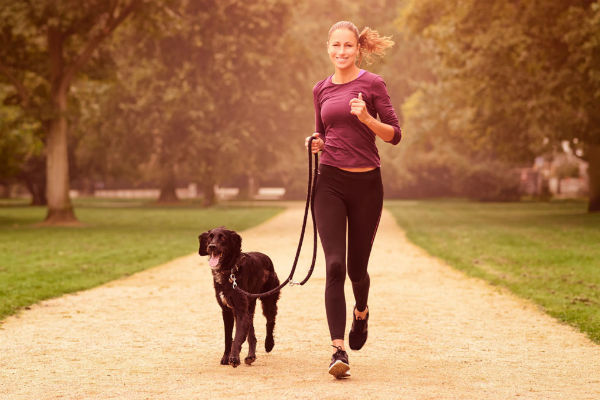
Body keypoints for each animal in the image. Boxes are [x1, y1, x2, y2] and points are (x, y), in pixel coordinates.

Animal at [198, 227, 280, 368]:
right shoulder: (227, 310)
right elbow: (228, 337)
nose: (211, 246)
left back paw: (269, 344)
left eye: (223, 237)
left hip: (268, 300)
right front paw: (226, 357)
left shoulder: (240, 310)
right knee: (251, 334)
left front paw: (234, 358)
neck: (229, 272)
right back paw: (250, 356)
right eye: (210, 237)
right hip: (249, 306)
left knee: (270, 322)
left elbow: (237, 337)